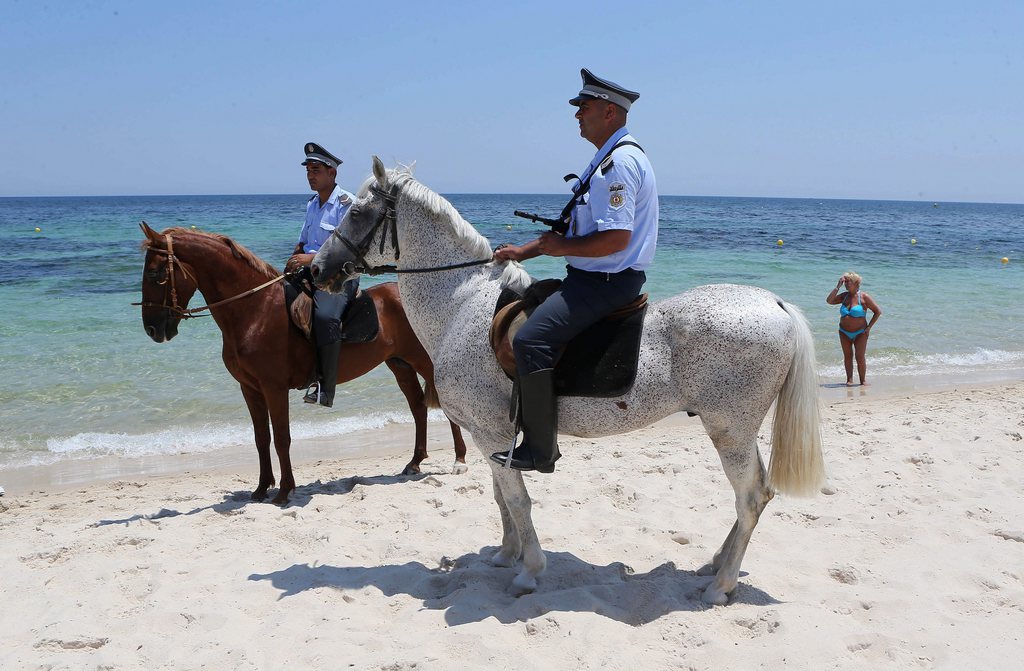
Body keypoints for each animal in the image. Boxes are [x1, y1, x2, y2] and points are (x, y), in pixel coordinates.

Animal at [140, 222, 468, 504]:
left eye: (156, 274)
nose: (153, 329)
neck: (255, 311)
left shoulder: (274, 388)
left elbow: (281, 438)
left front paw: (285, 491)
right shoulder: (250, 389)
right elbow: (261, 438)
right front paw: (261, 488)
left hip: (422, 361)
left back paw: (460, 459)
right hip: (399, 364)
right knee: (418, 407)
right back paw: (414, 462)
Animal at [311, 157, 823, 602]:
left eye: (356, 212)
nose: (317, 270)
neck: (460, 302)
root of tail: (775, 304)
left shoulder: (491, 431)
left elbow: (518, 500)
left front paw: (529, 571)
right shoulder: (488, 435)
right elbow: (501, 496)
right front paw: (507, 554)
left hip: (729, 430)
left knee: (750, 497)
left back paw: (721, 586)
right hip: (737, 430)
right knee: (758, 495)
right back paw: (716, 564)